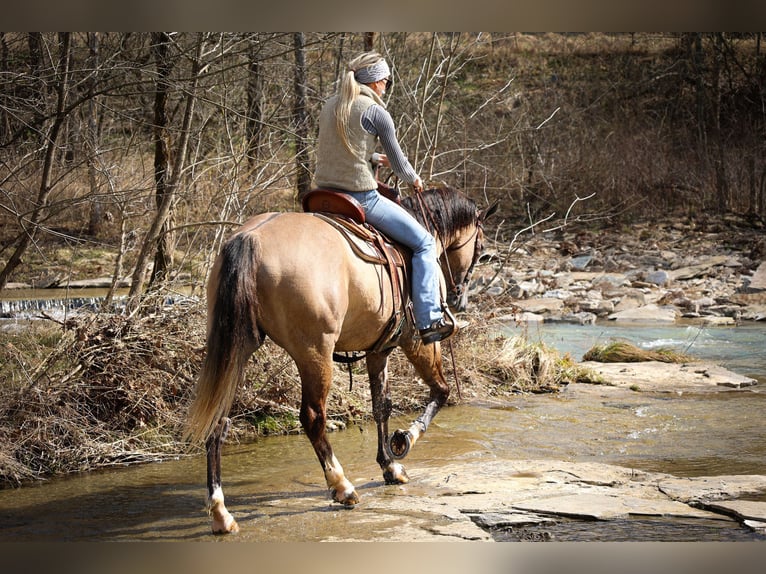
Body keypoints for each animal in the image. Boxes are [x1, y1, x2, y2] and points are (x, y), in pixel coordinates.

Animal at [184, 188, 498, 536]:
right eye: (480, 248)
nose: (459, 297)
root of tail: (249, 238)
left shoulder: (379, 350)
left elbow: (381, 406)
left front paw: (390, 466)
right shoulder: (417, 342)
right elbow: (440, 391)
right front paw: (404, 440)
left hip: (237, 351)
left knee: (218, 421)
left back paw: (221, 512)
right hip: (315, 353)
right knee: (313, 418)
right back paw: (342, 485)